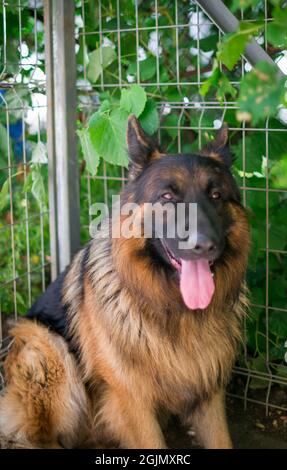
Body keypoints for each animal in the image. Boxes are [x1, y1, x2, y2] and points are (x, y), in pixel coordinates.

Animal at [0, 116, 250, 448]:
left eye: (216, 195)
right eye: (167, 197)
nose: (205, 245)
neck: (174, 310)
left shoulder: (209, 393)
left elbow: (222, 440)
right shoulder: (131, 400)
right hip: (47, 347)